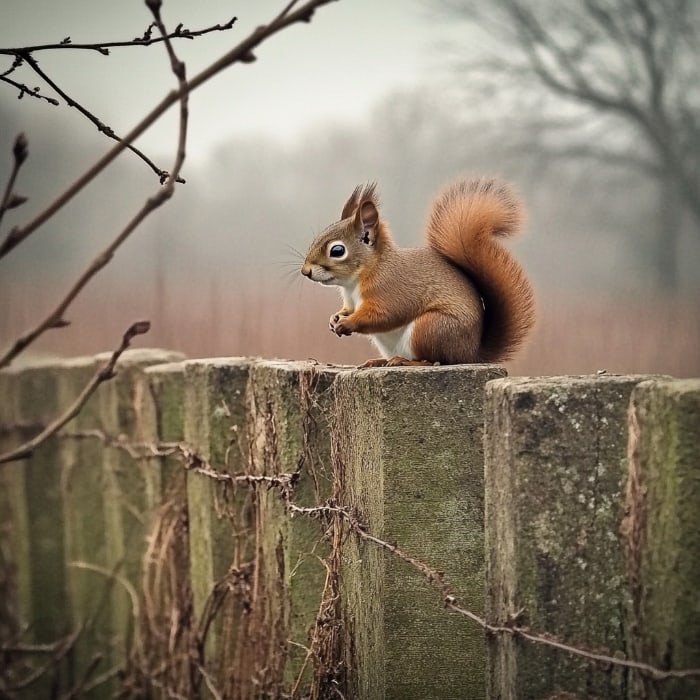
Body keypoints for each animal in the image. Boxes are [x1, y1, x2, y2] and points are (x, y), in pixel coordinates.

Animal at [300, 177, 535, 367]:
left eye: (337, 251)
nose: (305, 271)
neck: (356, 280)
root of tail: (470, 354)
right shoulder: (350, 300)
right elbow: (348, 309)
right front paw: (335, 318)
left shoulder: (390, 289)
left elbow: (384, 314)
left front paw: (347, 323)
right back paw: (379, 361)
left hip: (430, 328)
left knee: (435, 361)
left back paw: (405, 362)